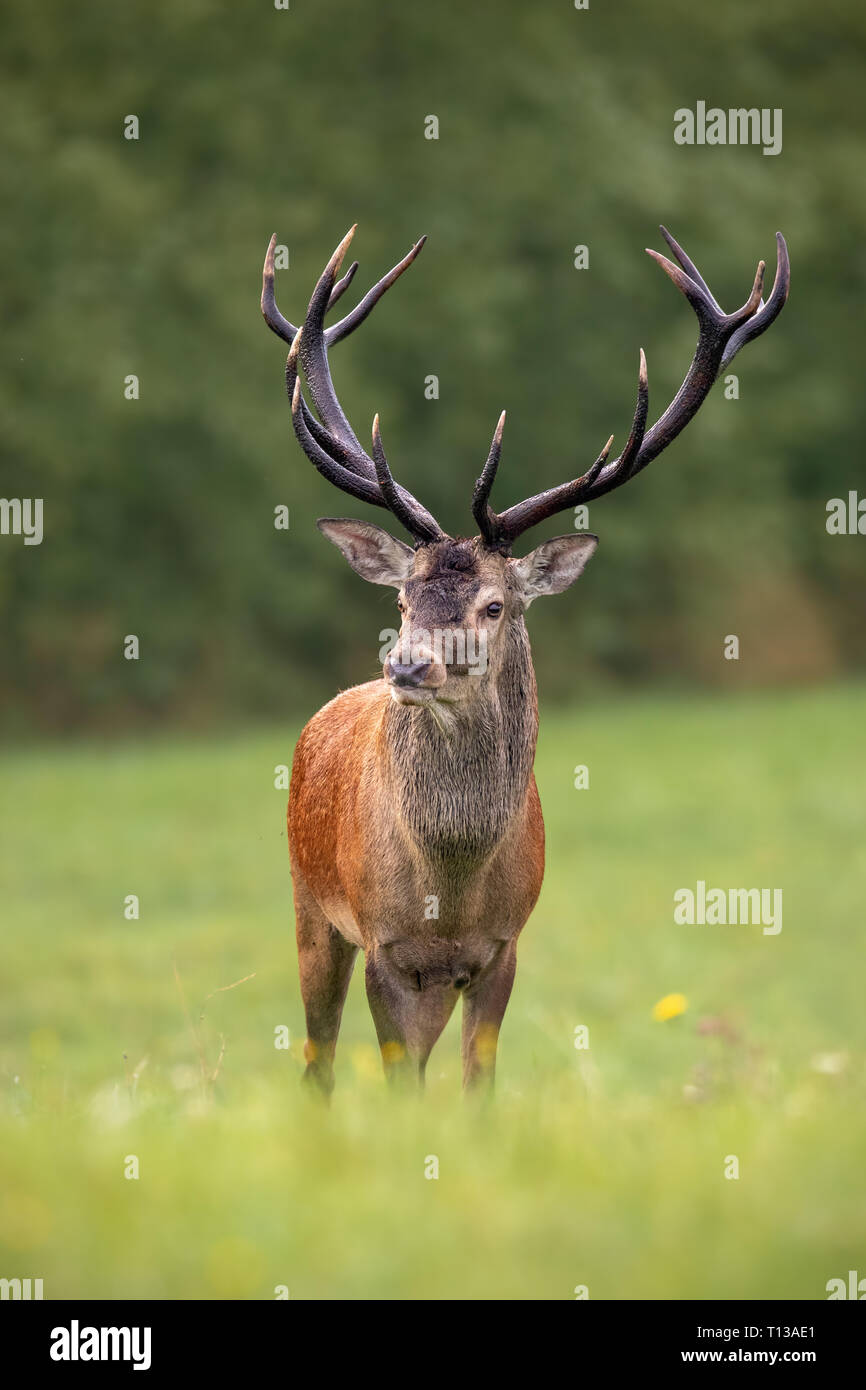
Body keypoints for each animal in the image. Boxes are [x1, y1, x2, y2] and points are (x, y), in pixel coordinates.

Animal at [261, 222, 789, 1089]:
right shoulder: (381, 945)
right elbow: (399, 1085)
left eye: (494, 605)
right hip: (310, 908)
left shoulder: (503, 948)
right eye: (401, 600)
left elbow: (478, 1085)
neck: (450, 889)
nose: (406, 667)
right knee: (318, 1063)